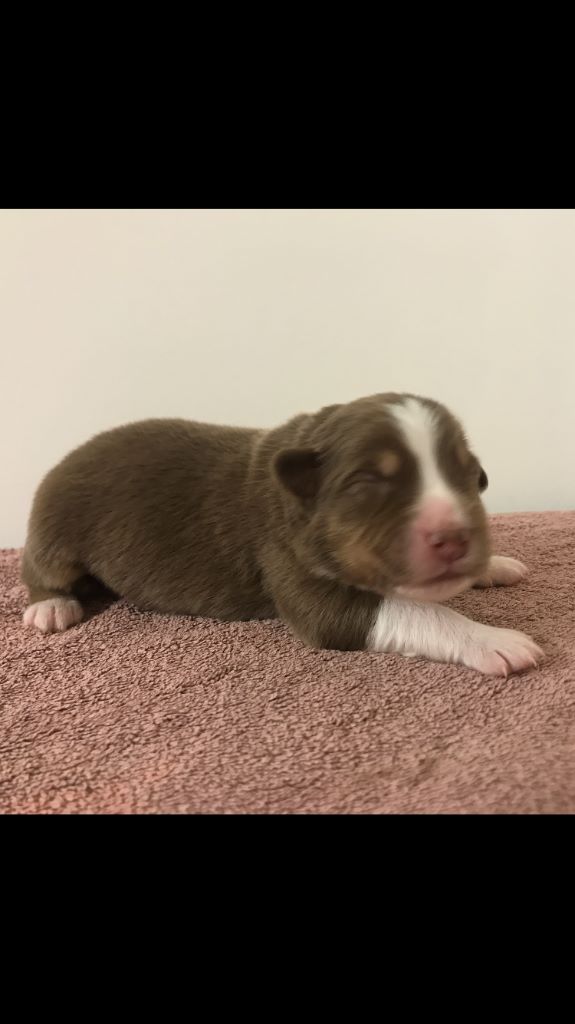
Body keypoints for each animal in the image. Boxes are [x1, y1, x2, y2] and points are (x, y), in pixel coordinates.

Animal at [22, 393, 543, 676]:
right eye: (367, 482)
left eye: (469, 475)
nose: (455, 538)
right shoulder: (293, 569)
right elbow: (419, 611)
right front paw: (493, 640)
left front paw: (494, 565)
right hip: (54, 529)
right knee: (38, 570)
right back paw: (51, 607)